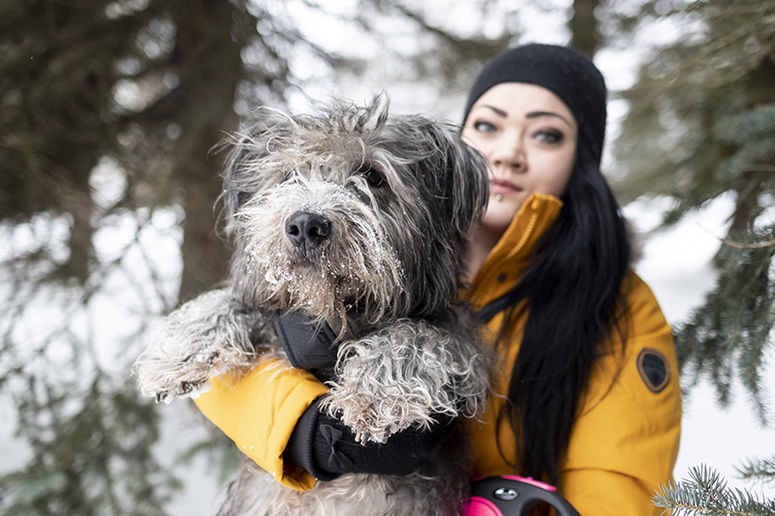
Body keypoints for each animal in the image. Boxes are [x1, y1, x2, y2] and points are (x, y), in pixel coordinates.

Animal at [135, 98, 492, 516]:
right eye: (289, 174)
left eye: (373, 176)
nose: (305, 224)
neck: (334, 317)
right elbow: (243, 302)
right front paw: (180, 348)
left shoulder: (467, 341)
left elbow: (423, 333)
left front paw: (377, 388)